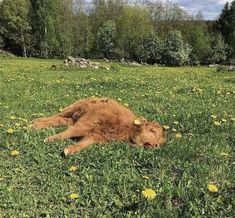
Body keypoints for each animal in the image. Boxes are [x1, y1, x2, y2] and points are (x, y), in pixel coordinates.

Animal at [31, 96, 165, 155]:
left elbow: (83, 143)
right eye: (152, 131)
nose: (156, 146)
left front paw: (68, 150)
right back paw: (35, 123)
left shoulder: (97, 136)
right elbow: (70, 132)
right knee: (56, 116)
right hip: (73, 108)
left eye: (160, 140)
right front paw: (49, 139)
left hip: (72, 117)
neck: (126, 128)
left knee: (59, 120)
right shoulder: (87, 122)